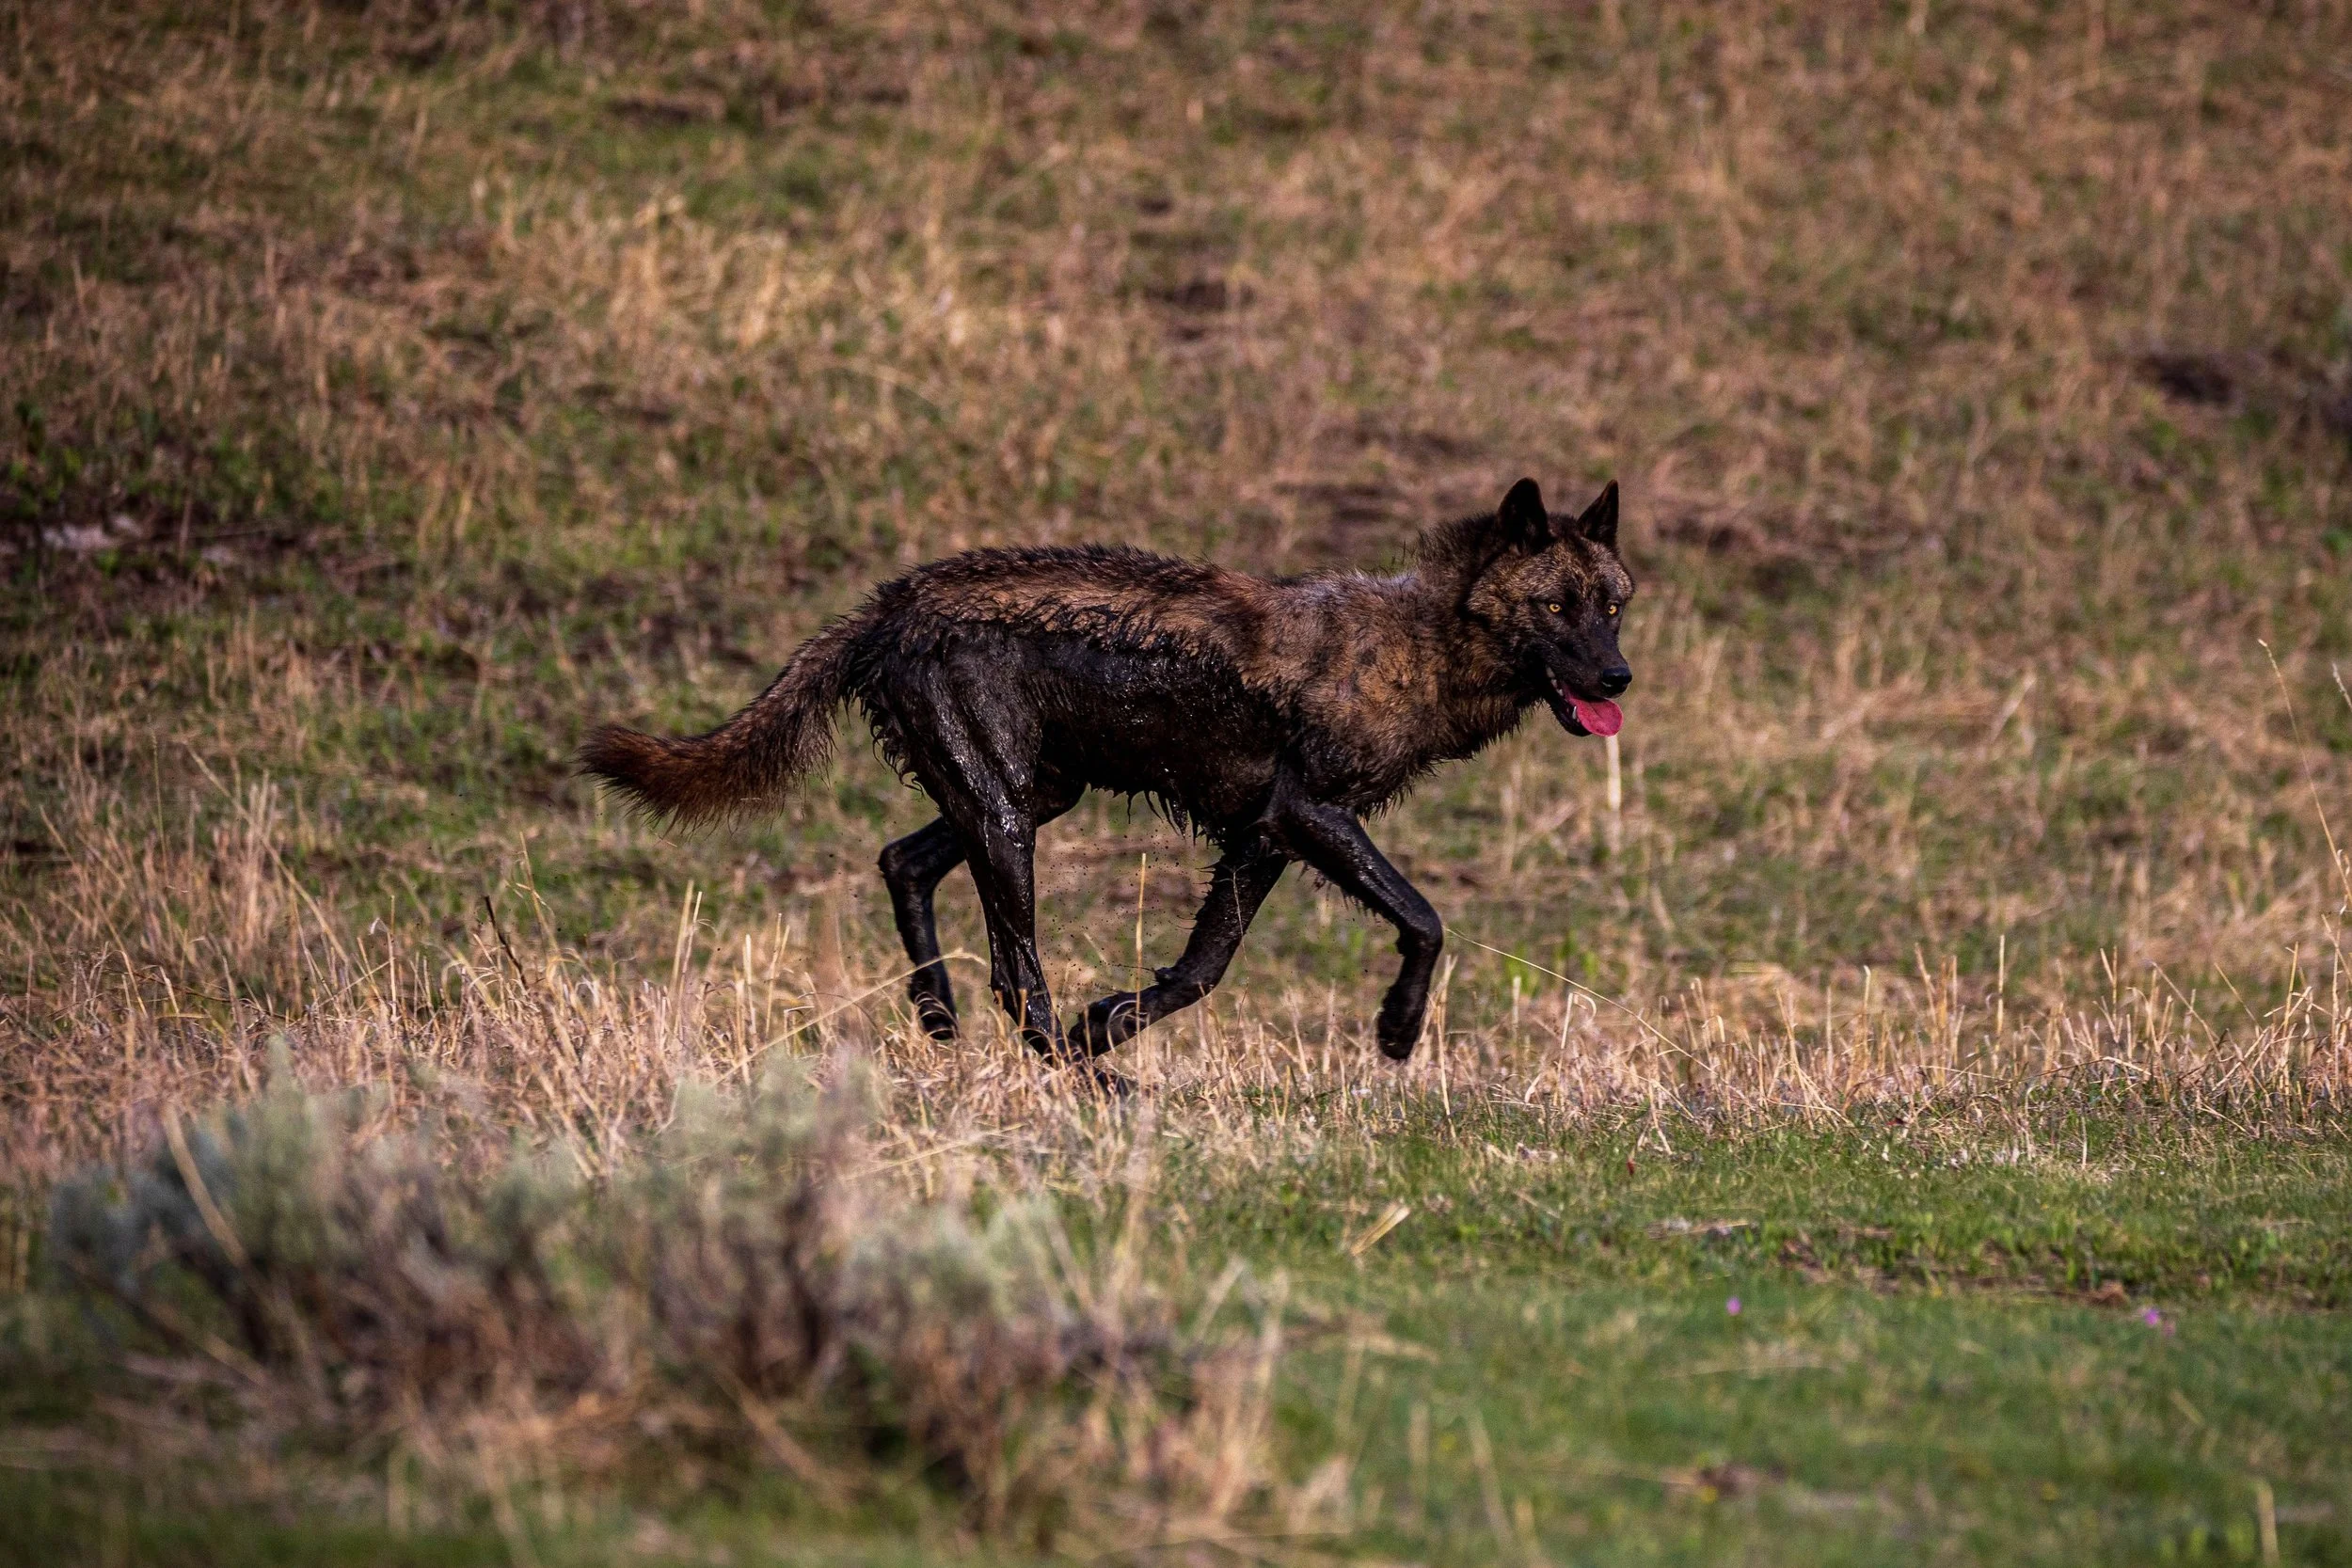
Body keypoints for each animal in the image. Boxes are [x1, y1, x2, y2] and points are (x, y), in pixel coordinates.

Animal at [581, 477, 1633, 1071]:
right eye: (1557, 607)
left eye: (1614, 605)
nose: (1619, 678)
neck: (1424, 642)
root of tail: (887, 601)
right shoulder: (1311, 814)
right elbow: (1426, 918)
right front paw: (1397, 1032)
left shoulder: (1261, 836)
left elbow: (1202, 970)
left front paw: (1112, 1018)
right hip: (1011, 823)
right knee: (1013, 979)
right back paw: (1087, 1079)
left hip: (1032, 798)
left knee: (901, 862)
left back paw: (946, 1020)